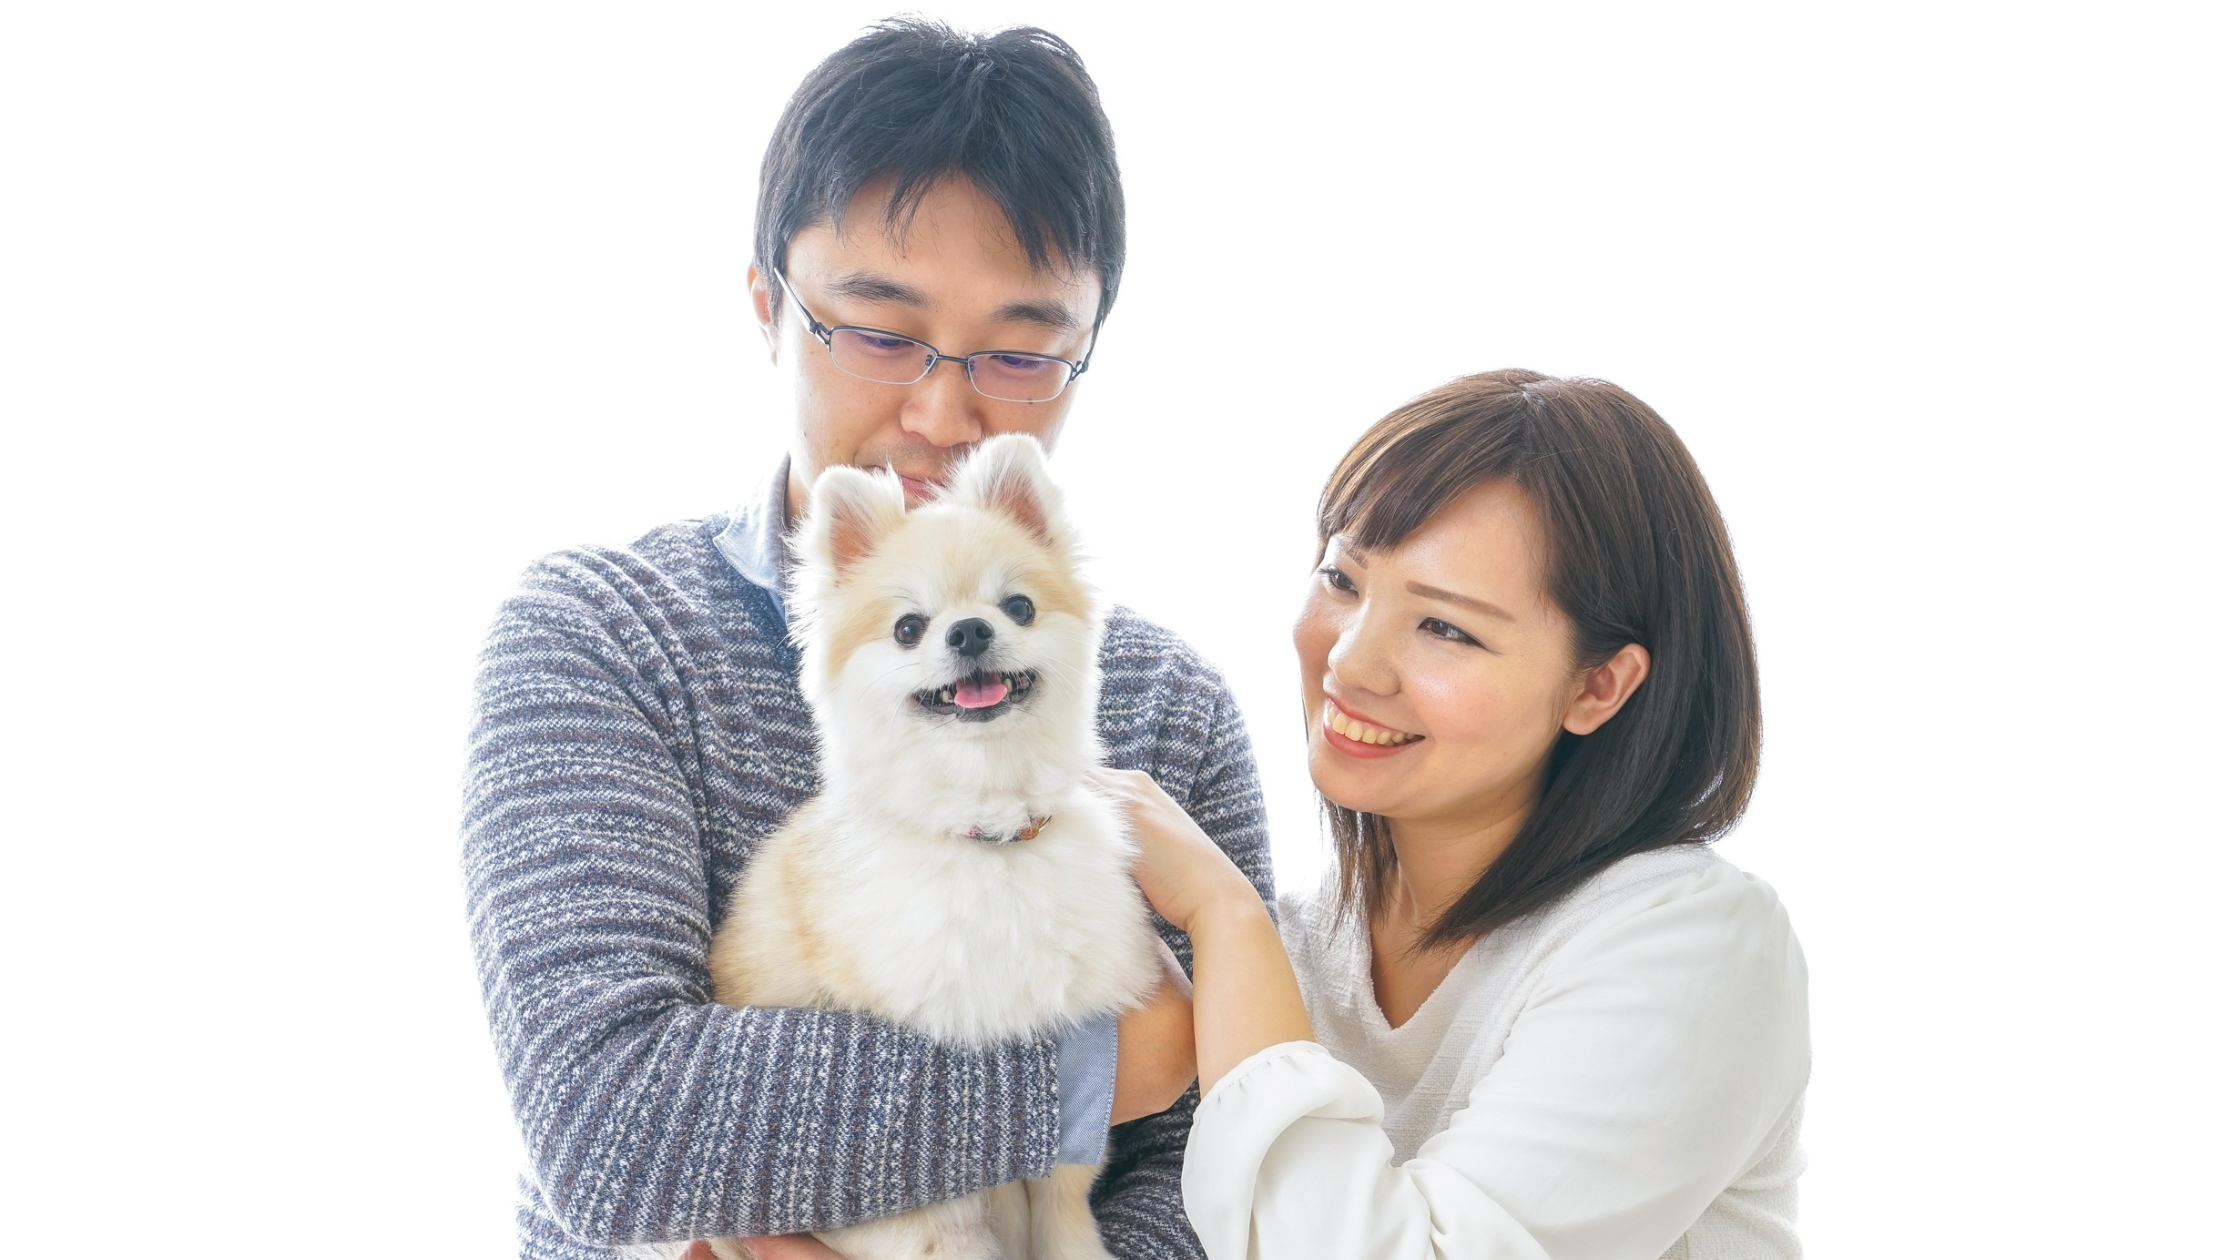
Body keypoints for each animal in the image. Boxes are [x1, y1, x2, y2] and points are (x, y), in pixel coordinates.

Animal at [697, 435, 1162, 1260]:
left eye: (1018, 606)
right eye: (908, 627)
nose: (969, 631)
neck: (989, 831)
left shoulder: (1068, 1038)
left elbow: (1064, 1205)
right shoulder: (921, 1177)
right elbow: (950, 1228)